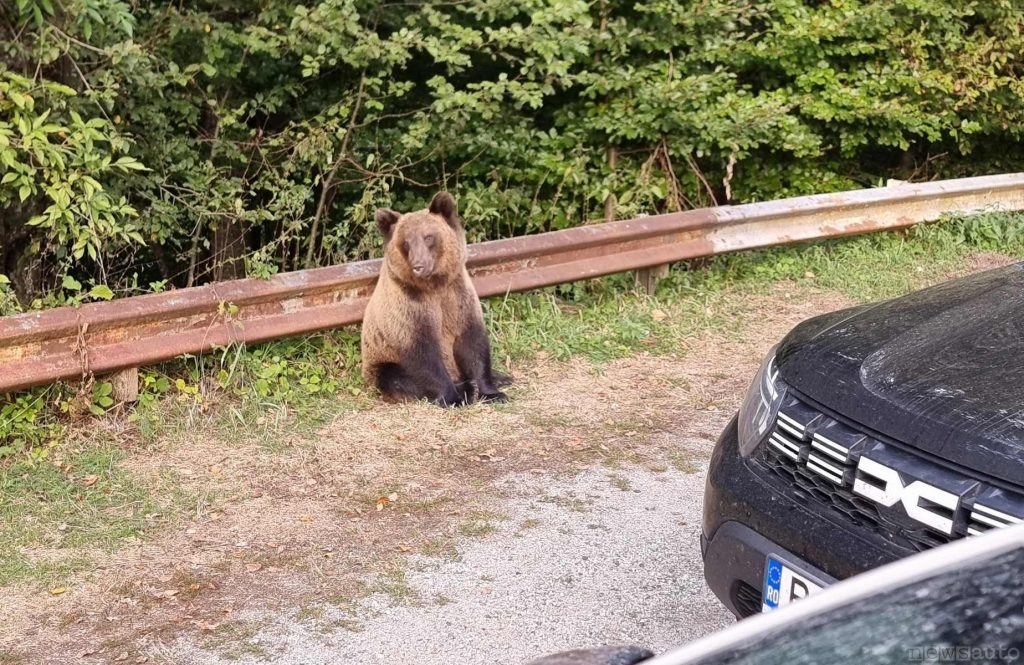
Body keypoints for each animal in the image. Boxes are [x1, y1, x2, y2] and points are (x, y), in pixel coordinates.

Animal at [360, 190, 507, 403]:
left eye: (428, 237)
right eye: (406, 242)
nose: (418, 266)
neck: (435, 285)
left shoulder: (458, 296)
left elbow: (473, 343)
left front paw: (492, 392)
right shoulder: (410, 307)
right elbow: (424, 357)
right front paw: (454, 397)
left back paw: (501, 378)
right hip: (381, 362)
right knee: (394, 377)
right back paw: (465, 386)